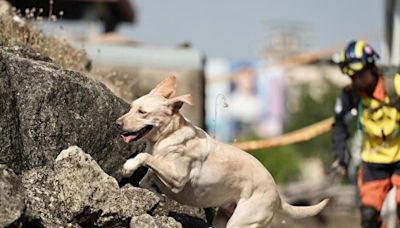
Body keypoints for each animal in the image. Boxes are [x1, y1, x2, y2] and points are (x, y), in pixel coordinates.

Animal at [116, 75, 328, 227]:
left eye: (142, 112)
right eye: (132, 107)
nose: (117, 123)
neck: (168, 136)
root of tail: (277, 195)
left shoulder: (178, 178)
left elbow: (145, 157)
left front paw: (129, 165)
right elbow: (146, 179)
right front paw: (157, 195)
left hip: (242, 221)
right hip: (223, 219)